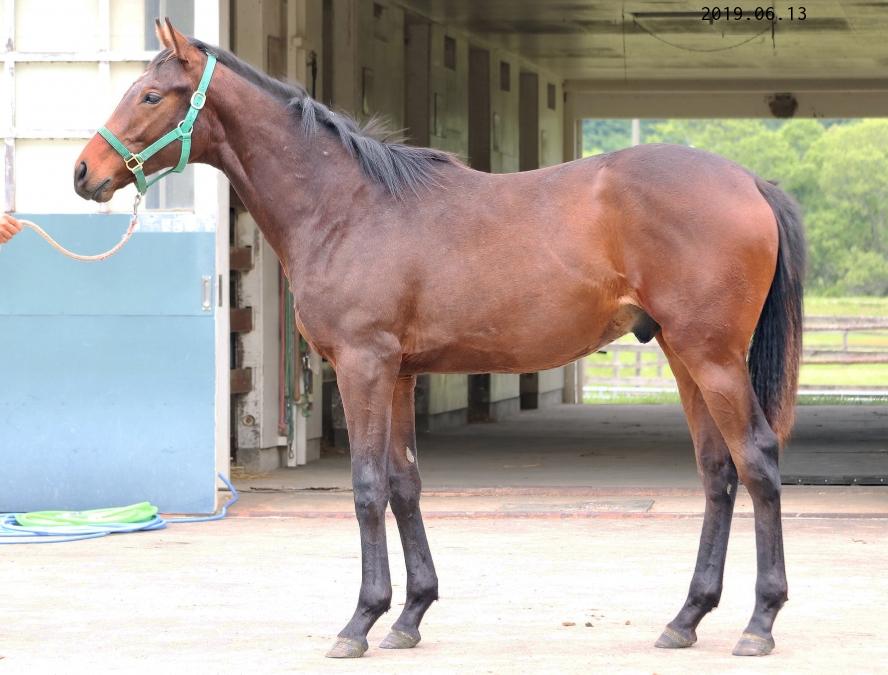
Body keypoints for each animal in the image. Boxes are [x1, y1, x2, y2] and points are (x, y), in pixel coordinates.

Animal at [74, 19, 805, 659]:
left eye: (151, 94)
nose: (84, 171)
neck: (346, 206)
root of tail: (750, 181)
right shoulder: (399, 372)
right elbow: (405, 482)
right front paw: (409, 615)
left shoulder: (363, 366)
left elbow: (368, 485)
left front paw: (360, 621)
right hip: (684, 357)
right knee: (717, 472)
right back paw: (685, 618)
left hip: (713, 359)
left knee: (757, 461)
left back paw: (760, 623)